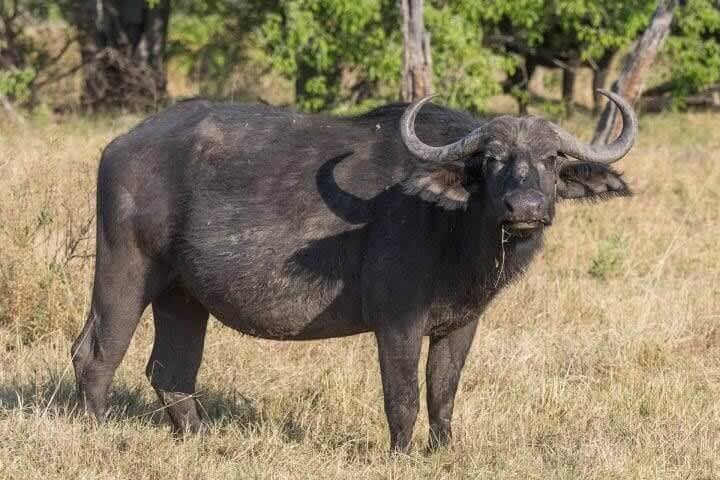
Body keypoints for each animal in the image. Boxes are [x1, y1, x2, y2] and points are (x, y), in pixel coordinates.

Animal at [72, 90, 636, 452]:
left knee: (171, 371)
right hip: (126, 269)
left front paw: (444, 452)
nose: (525, 208)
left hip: (183, 295)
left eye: (551, 158)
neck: (452, 223)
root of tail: (121, 145)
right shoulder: (397, 322)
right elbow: (403, 396)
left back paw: (199, 439)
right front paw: (402, 456)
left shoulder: (461, 323)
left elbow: (443, 393)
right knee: (95, 355)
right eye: (493, 158)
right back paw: (97, 436)